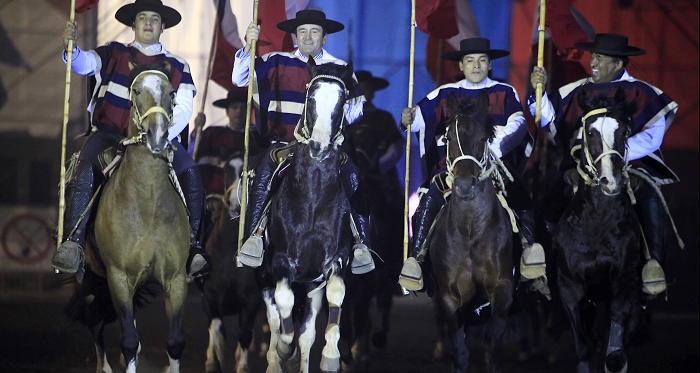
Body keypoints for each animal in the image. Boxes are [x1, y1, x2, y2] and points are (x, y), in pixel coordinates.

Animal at [87, 59, 189, 370]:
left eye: (171, 92)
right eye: (136, 90)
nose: (157, 136)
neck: (148, 207)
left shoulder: (177, 279)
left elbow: (175, 342)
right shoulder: (118, 278)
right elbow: (130, 342)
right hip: (94, 279)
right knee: (94, 321)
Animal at [262, 58, 356, 372]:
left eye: (341, 101)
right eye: (311, 98)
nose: (319, 146)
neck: (312, 200)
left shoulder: (335, 259)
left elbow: (335, 296)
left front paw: (331, 356)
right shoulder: (280, 262)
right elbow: (283, 306)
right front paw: (283, 348)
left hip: (311, 286)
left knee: (306, 335)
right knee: (274, 317)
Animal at [426, 91, 516, 372]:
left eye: (484, 138)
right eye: (448, 138)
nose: (465, 185)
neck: (471, 231)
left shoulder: (502, 288)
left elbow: (492, 343)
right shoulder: (449, 296)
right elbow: (460, 350)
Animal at [556, 88, 644, 372]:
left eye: (624, 132)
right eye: (591, 132)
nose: (611, 181)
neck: (596, 223)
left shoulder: (625, 278)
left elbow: (616, 337)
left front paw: (615, 357)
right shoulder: (569, 286)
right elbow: (582, 346)